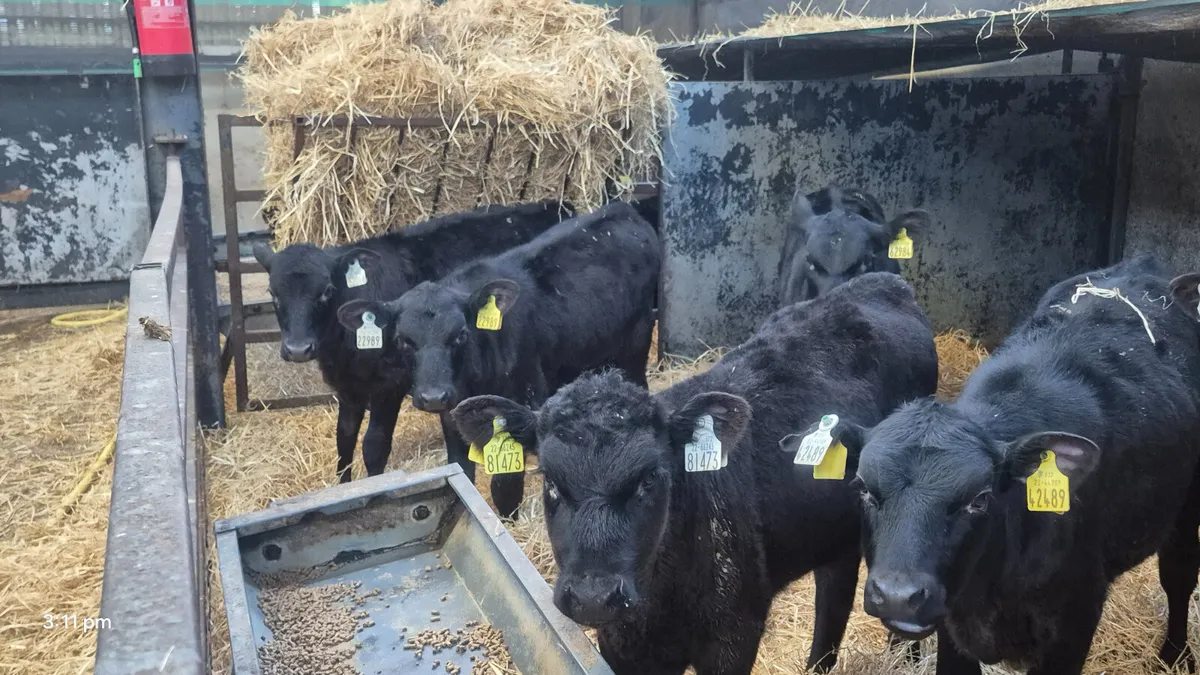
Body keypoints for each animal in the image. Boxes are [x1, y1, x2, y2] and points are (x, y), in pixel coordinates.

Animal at [253, 201, 573, 484]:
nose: (297, 349)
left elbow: (374, 445)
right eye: (273, 293)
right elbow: (344, 439)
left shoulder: (389, 386)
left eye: (326, 291)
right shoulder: (348, 388)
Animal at [336, 201, 660, 519]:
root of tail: (622, 209)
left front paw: (508, 522)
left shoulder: (518, 406)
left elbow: (506, 484)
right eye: (404, 339)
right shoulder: (452, 415)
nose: (433, 396)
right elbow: (461, 468)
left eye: (460, 334)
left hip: (637, 344)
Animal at [450, 272, 938, 674]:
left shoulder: (734, 634)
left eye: (650, 478)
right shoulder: (622, 645)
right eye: (550, 482)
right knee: (833, 592)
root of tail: (884, 283)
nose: (593, 595)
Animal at [836, 254, 1200, 675]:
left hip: (1185, 510)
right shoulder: (954, 624)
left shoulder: (1076, 617)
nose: (898, 595)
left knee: (1179, 575)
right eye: (864, 489)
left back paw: (1175, 655)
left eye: (979, 499)